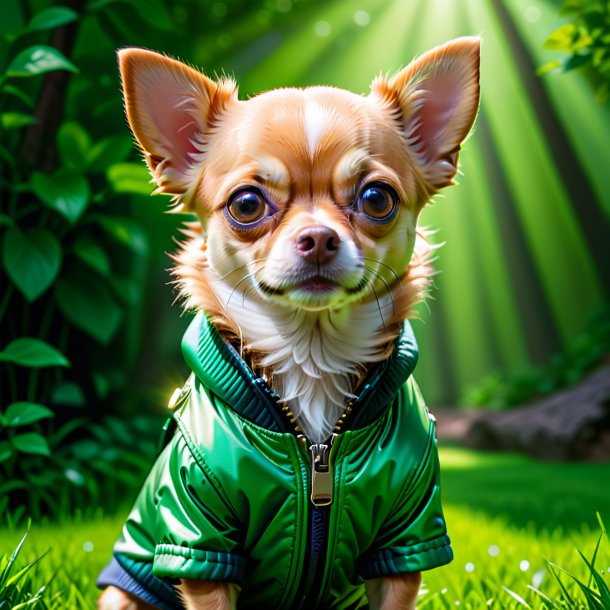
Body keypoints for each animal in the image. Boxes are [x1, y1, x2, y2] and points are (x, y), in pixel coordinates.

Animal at [97, 38, 480, 608]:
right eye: (246, 203)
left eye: (377, 198)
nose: (319, 238)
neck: (311, 358)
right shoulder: (199, 539)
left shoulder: (407, 538)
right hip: (129, 589)